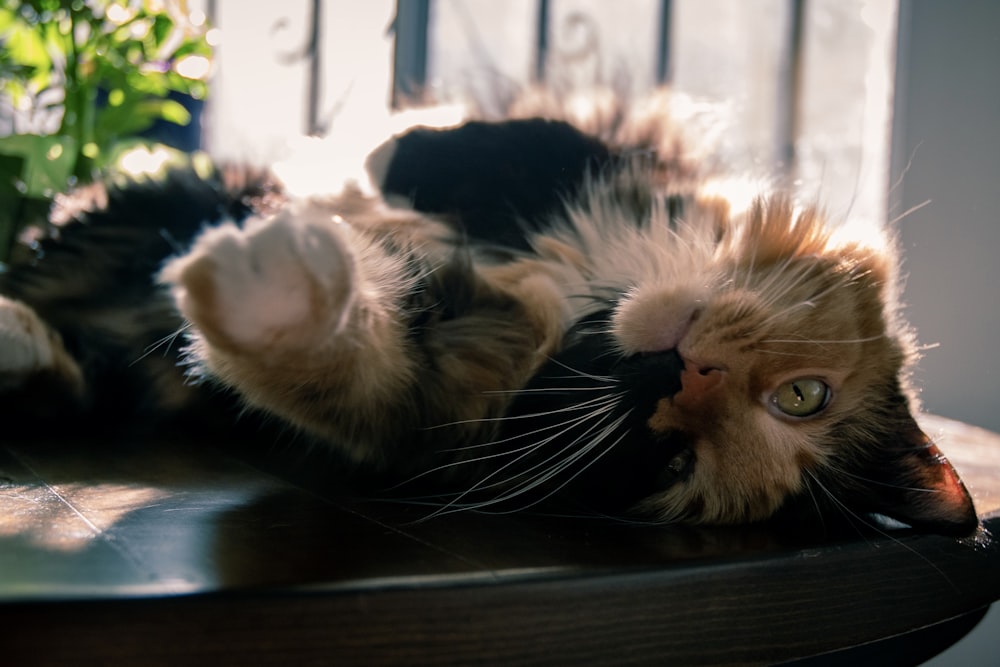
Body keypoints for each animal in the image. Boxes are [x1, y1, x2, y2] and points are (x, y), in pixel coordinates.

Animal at [0, 99, 980, 536]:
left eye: (671, 458)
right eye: (805, 397)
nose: (679, 372)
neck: (589, 299)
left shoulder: (425, 402)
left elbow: (342, 365)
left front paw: (271, 290)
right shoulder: (610, 154)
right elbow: (512, 145)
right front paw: (398, 162)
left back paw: (24, 343)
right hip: (140, 202)